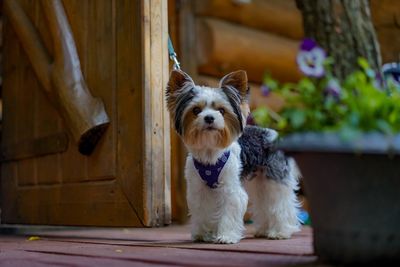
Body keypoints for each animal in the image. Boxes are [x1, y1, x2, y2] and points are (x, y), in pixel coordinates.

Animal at [166, 69, 300, 245]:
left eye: (222, 111)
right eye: (196, 110)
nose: (209, 117)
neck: (210, 152)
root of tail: (274, 135)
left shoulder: (230, 189)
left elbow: (229, 210)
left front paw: (226, 236)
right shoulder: (199, 189)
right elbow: (202, 210)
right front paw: (203, 234)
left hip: (274, 178)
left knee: (280, 203)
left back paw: (280, 232)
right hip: (261, 181)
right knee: (264, 203)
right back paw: (264, 230)